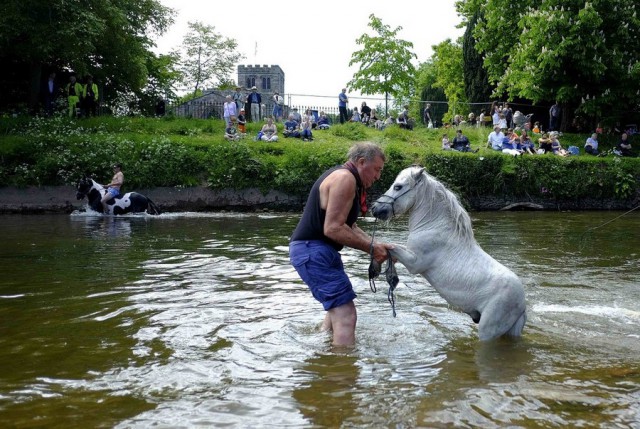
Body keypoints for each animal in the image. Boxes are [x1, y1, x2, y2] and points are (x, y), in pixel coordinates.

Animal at [370, 166, 524, 340]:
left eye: (398, 187)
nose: (375, 209)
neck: (434, 225)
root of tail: (523, 305)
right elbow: (389, 249)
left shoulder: (414, 263)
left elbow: (389, 247)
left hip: (488, 331)